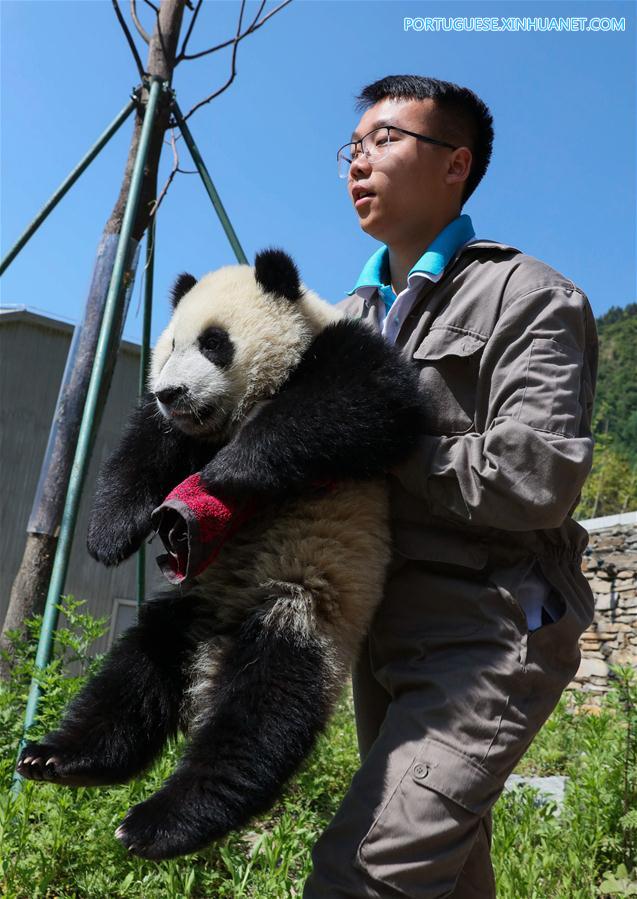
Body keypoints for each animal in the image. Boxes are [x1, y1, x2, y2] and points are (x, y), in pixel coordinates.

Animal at [17, 249, 425, 860]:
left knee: (263, 711)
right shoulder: (171, 431)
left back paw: (163, 821)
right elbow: (144, 449)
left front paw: (230, 470)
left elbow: (366, 401)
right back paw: (63, 758)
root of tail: (216, 647)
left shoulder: (345, 354)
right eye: (168, 347)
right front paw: (108, 533)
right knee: (134, 674)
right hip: (189, 607)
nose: (172, 392)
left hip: (299, 604)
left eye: (214, 343)